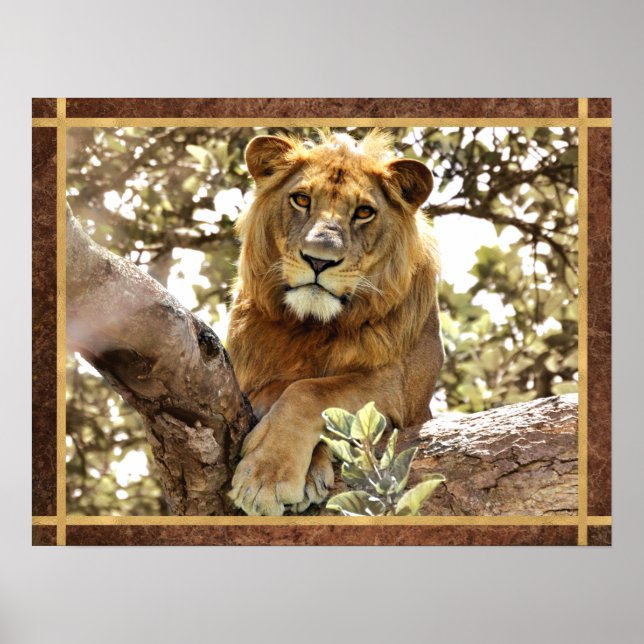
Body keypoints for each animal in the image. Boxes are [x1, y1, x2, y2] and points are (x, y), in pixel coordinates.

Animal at [227, 129, 443, 516]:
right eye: (301, 199)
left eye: (364, 212)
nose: (318, 260)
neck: (313, 325)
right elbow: (284, 387)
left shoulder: (399, 387)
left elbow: (308, 390)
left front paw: (265, 476)